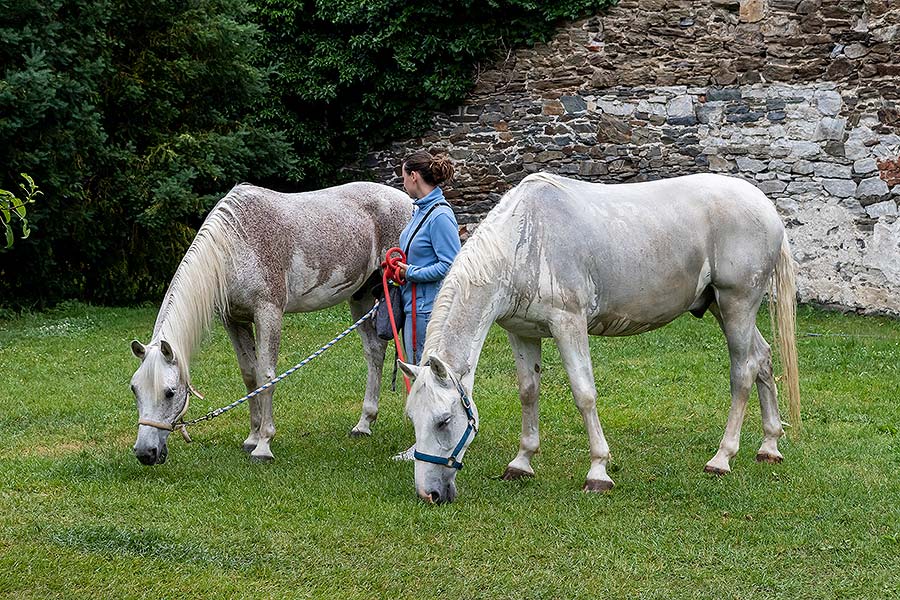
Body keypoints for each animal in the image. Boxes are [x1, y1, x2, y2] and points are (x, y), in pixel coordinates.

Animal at [129, 183, 412, 464]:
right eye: (134, 389)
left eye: (170, 392)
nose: (145, 453)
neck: (233, 247)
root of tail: (407, 201)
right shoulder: (234, 320)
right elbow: (250, 375)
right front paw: (252, 438)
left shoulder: (268, 313)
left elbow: (266, 376)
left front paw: (264, 445)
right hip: (362, 298)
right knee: (375, 352)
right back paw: (364, 424)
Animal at [400, 172, 800, 502]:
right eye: (412, 419)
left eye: (443, 421)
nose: (429, 494)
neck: (523, 239)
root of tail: (765, 205)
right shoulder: (521, 333)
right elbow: (528, 393)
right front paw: (521, 462)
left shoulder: (569, 324)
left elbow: (584, 394)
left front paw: (598, 471)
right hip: (722, 306)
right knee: (763, 358)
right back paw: (769, 446)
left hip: (738, 304)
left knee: (743, 371)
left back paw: (722, 458)